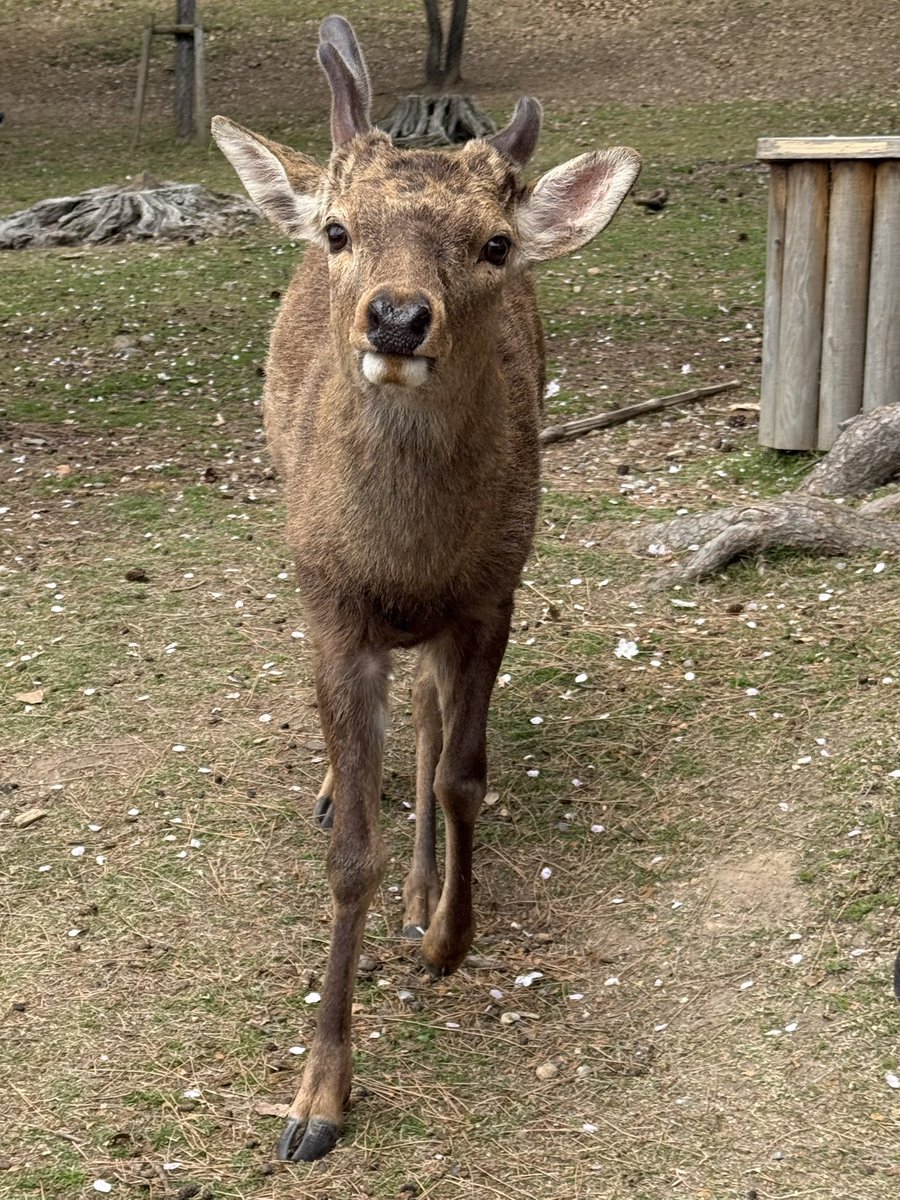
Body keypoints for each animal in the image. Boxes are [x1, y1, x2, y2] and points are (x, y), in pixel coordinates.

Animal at [212, 14, 640, 1163]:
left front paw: (449, 934)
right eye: (339, 231)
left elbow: (460, 775)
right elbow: (348, 855)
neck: (403, 559)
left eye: (492, 244)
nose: (399, 319)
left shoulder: (493, 594)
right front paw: (316, 1101)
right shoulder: (333, 606)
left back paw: (421, 894)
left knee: (429, 723)